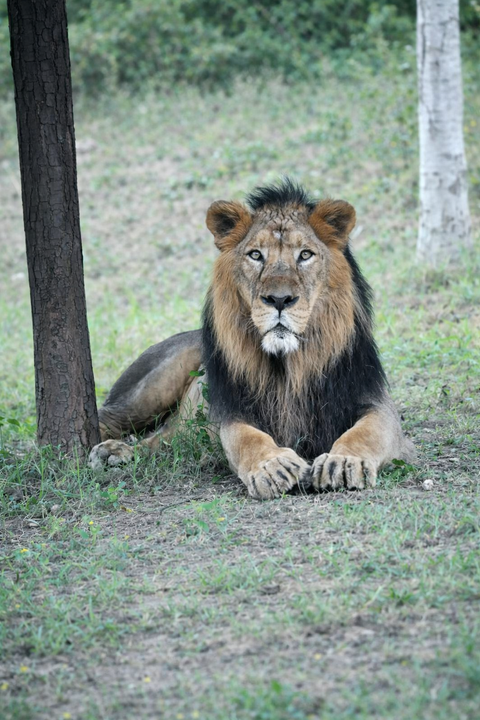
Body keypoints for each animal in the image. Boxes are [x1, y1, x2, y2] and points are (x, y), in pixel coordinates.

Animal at [89, 179, 415, 499]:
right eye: (256, 255)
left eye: (305, 254)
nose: (280, 300)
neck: (289, 365)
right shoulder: (234, 410)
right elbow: (246, 438)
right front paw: (273, 467)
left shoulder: (373, 399)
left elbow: (366, 432)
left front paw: (344, 462)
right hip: (151, 388)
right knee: (110, 417)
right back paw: (105, 450)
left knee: (166, 439)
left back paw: (121, 453)